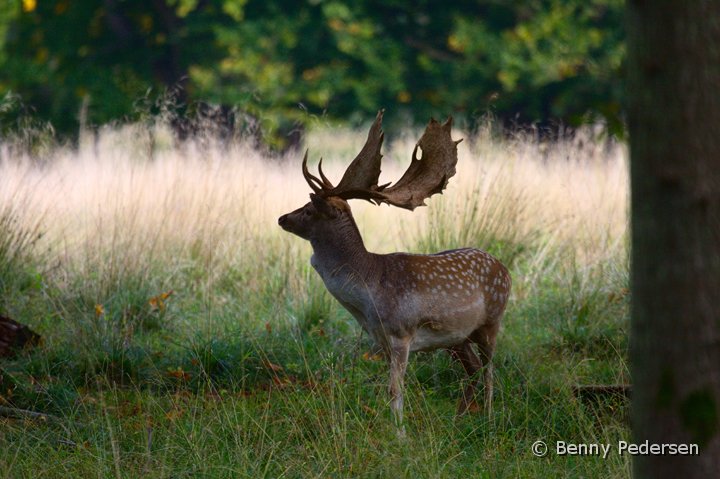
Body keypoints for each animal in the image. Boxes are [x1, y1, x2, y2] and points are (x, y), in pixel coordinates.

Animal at [278, 111, 510, 428]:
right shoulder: (381, 341)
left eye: (309, 209)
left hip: (492, 320)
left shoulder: (402, 332)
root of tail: (505, 269)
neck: (369, 294)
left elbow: (394, 389)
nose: (282, 218)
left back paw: (487, 418)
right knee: (473, 368)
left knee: (489, 371)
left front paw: (399, 433)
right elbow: (389, 387)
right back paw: (459, 419)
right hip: (457, 337)